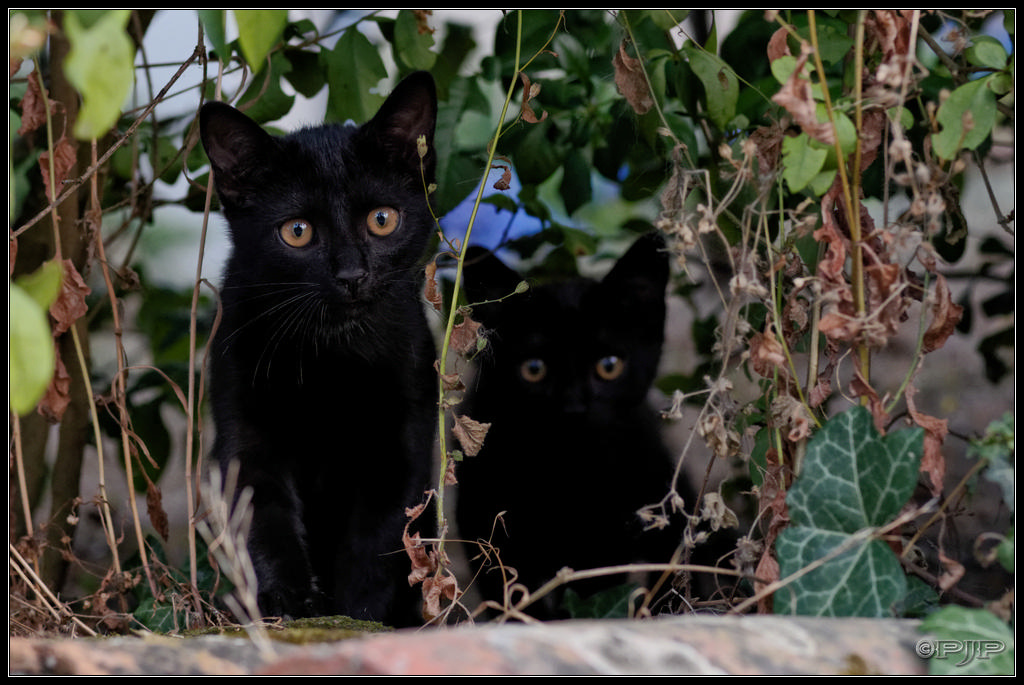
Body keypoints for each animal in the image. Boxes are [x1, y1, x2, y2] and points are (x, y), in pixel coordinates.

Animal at [201, 70, 438, 626]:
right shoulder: (245, 433)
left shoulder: (403, 440)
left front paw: (360, 614)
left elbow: (379, 540)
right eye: (297, 232)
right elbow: (264, 522)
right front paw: (286, 600)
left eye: (381, 220)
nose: (352, 274)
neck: (332, 356)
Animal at [456, 231, 696, 618]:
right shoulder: (481, 515)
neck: (568, 472)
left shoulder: (610, 533)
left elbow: (592, 586)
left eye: (609, 366)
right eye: (533, 369)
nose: (573, 407)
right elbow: (509, 590)